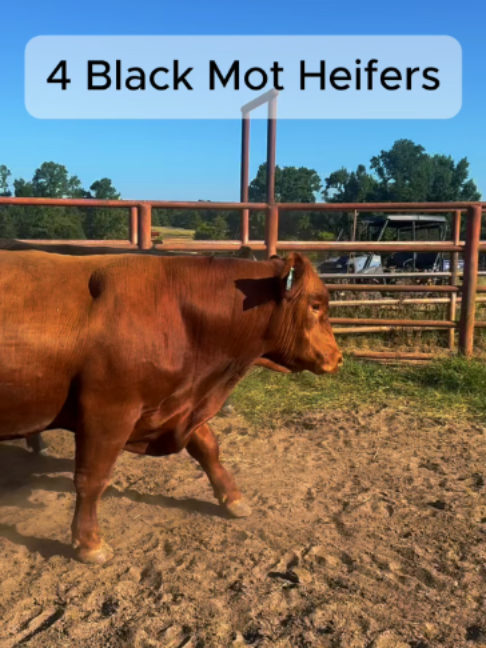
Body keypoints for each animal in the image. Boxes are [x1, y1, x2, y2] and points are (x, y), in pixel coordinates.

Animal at [0, 250, 342, 564]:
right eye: (315, 305)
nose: (337, 357)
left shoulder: (180, 404)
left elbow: (207, 447)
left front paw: (233, 498)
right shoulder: (108, 413)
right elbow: (92, 478)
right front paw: (89, 543)